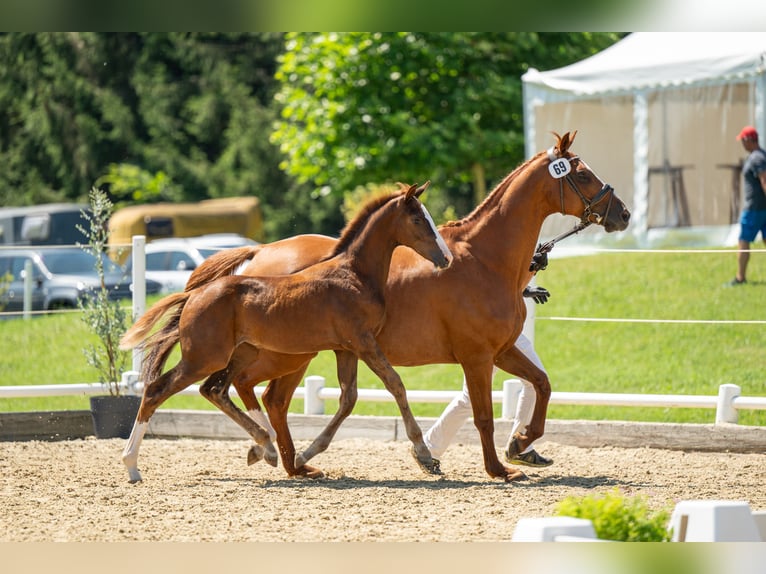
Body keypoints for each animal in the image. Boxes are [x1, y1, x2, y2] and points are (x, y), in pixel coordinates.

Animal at [118, 182, 453, 483]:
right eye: (418, 219)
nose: (446, 258)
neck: (354, 274)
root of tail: (194, 295)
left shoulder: (345, 349)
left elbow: (349, 398)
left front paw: (305, 454)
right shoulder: (363, 343)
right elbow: (395, 385)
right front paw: (425, 456)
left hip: (241, 353)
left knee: (216, 389)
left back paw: (266, 447)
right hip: (203, 358)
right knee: (158, 390)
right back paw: (132, 466)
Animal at [187, 130, 630, 482]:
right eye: (583, 174)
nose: (622, 214)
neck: (485, 259)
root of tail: (258, 254)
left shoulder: (502, 351)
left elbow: (542, 384)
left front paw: (521, 443)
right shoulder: (477, 357)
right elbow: (483, 416)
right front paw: (497, 469)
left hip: (295, 355)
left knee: (269, 398)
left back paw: (294, 461)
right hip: (288, 354)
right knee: (252, 391)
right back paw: (276, 452)